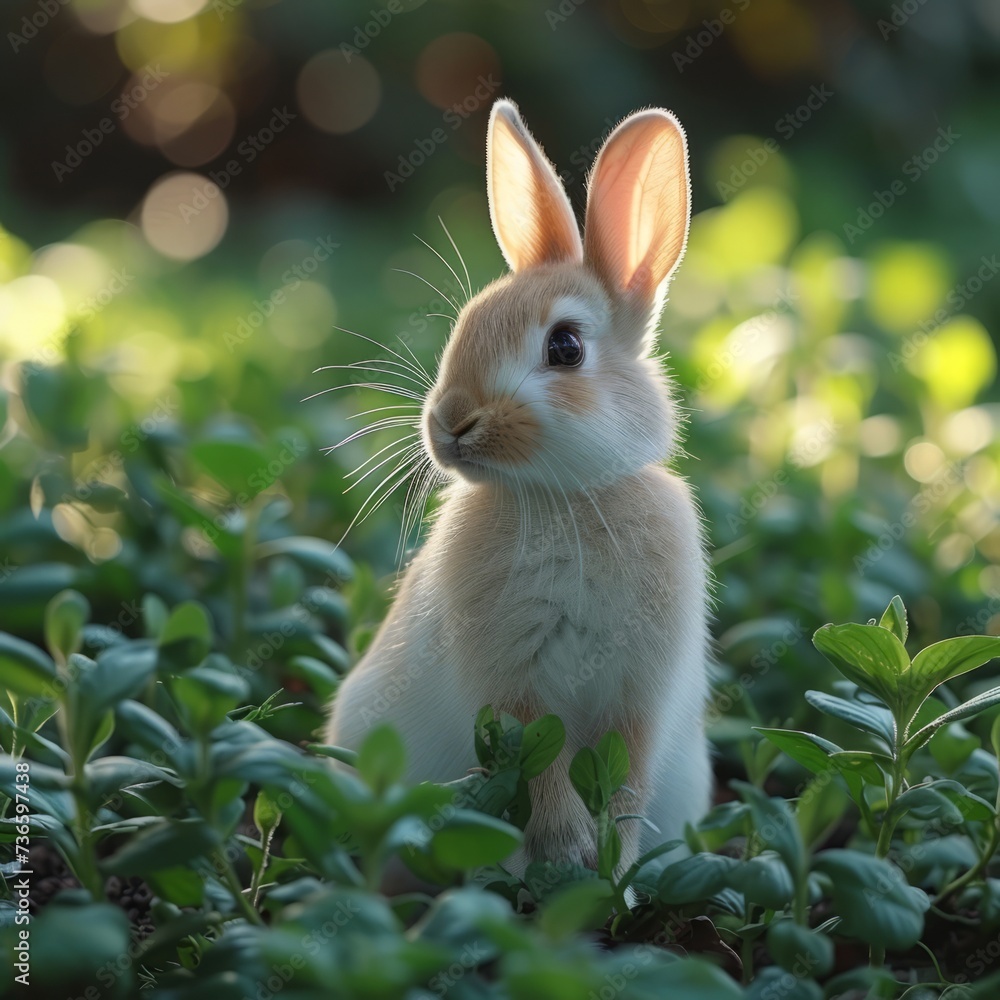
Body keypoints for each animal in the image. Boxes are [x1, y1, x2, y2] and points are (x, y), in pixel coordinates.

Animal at [325, 99, 712, 879]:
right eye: (465, 324)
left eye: (565, 346)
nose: (448, 423)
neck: (567, 497)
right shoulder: (511, 685)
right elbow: (540, 768)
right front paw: (567, 853)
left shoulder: (640, 693)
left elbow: (624, 777)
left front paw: (610, 868)